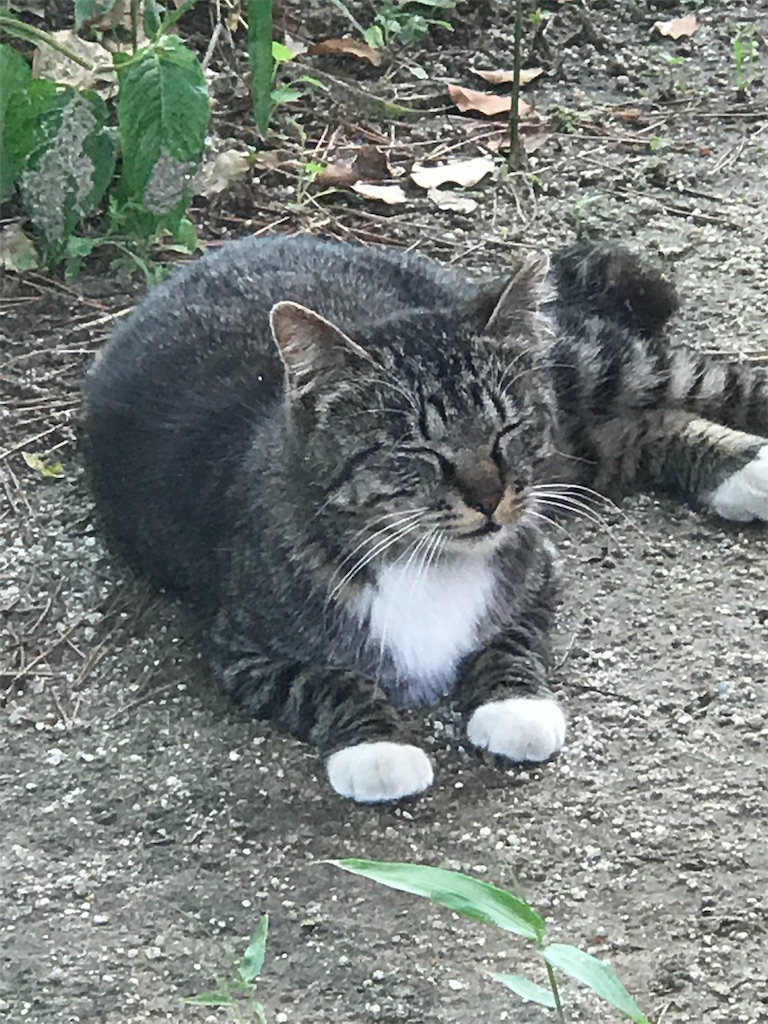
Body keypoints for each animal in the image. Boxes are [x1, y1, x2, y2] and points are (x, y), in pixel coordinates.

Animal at [82, 235, 768, 802]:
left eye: (508, 430)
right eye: (418, 449)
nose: (490, 498)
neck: (428, 561)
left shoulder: (541, 571)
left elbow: (513, 638)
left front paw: (515, 706)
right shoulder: (243, 647)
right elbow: (327, 682)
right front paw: (378, 749)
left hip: (578, 375)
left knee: (686, 379)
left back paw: (744, 458)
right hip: (570, 450)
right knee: (635, 429)